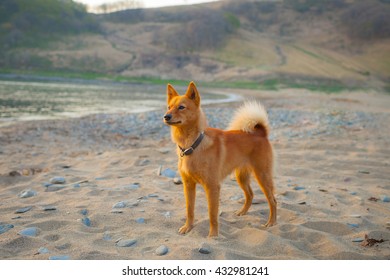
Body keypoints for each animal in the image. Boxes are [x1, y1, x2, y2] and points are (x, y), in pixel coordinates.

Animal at [163, 81, 276, 236]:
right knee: (250, 194)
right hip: (241, 176)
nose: (166, 116)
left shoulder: (212, 187)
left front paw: (213, 235)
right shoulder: (188, 185)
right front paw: (188, 227)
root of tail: (260, 133)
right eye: (169, 107)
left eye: (181, 107)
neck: (193, 144)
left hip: (262, 175)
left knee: (273, 200)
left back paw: (271, 222)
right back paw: (242, 212)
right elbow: (190, 210)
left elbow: (212, 214)